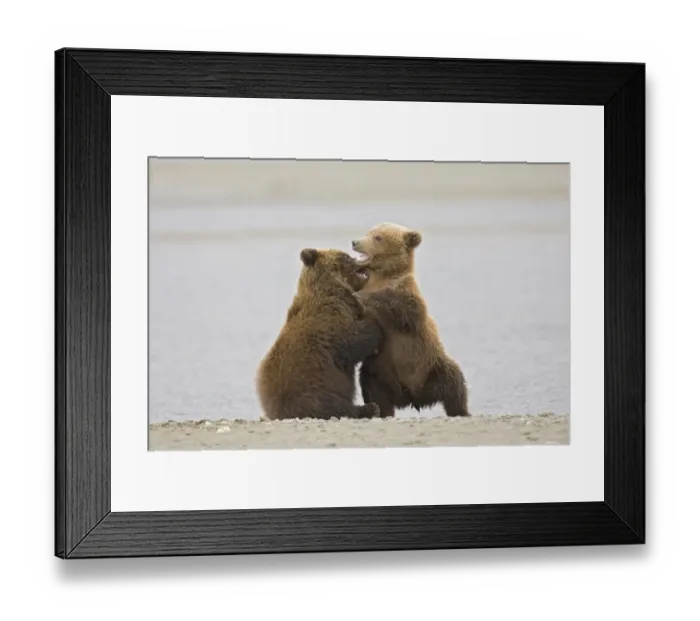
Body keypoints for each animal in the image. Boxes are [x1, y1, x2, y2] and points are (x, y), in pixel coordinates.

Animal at [256, 248, 383, 421]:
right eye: (346, 256)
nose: (361, 259)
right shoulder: (332, 320)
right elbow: (352, 342)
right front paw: (374, 324)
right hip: (316, 386)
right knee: (334, 406)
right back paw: (370, 408)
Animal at [350, 223, 470, 418]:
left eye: (378, 237)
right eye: (368, 232)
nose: (355, 242)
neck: (381, 276)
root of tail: (412, 396)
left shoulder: (408, 297)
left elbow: (405, 309)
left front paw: (364, 297)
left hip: (432, 366)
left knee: (454, 382)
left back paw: (461, 411)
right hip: (379, 372)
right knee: (374, 390)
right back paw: (383, 411)